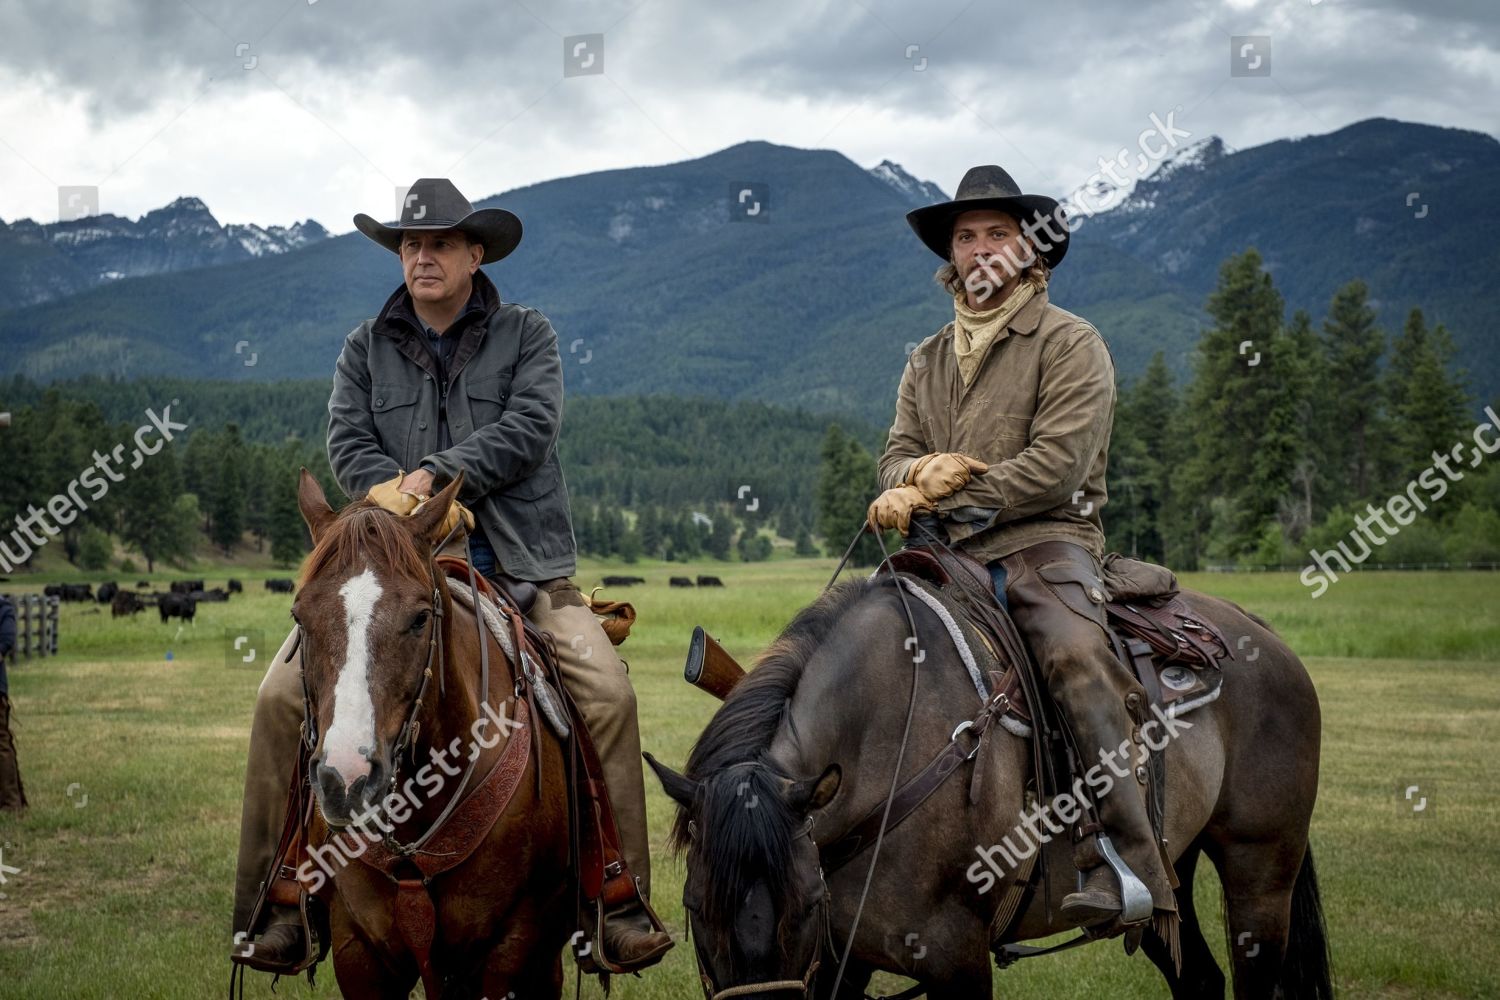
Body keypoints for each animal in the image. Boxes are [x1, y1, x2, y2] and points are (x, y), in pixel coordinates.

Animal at [651, 575, 1332, 995]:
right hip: (1171, 876)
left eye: (806, 904)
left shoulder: (955, 958)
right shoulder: (840, 961)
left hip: (1261, 874)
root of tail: (1260, 634)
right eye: (693, 906)